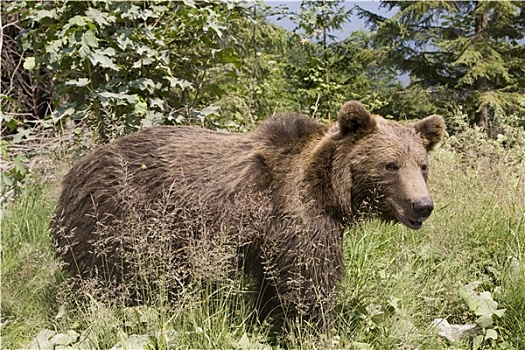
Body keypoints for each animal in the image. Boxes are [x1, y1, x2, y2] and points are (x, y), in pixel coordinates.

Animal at [52, 100, 442, 330]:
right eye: (390, 164)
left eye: (422, 165)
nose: (423, 206)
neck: (328, 189)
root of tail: (75, 170)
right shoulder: (295, 215)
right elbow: (310, 279)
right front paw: (316, 326)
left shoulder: (273, 234)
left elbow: (276, 281)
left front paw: (269, 317)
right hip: (114, 217)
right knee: (100, 278)